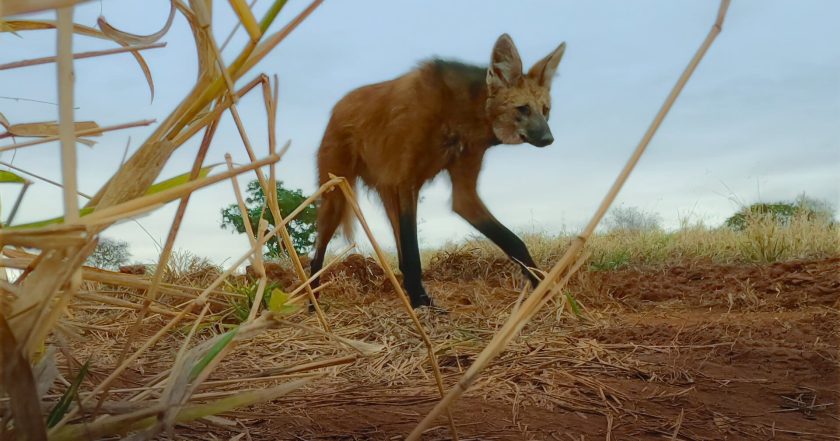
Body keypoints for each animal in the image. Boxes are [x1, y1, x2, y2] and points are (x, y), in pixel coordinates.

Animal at [308, 32, 564, 308]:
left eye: (545, 110)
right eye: (523, 109)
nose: (549, 139)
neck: (458, 113)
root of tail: (338, 105)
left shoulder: (461, 188)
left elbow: (514, 242)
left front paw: (545, 290)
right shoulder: (406, 181)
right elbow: (413, 253)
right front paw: (421, 305)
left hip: (386, 193)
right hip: (336, 194)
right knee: (317, 253)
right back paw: (313, 303)